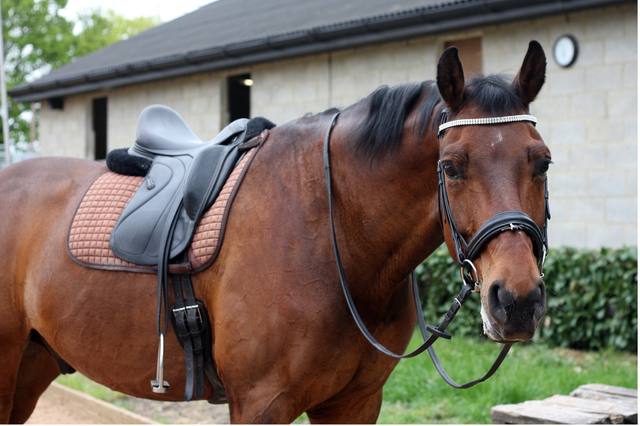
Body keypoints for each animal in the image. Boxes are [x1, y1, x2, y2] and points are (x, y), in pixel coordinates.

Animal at [0, 41, 551, 423]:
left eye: (541, 162)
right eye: (452, 167)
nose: (517, 299)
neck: (335, 236)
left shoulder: (355, 402)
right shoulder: (261, 403)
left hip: (33, 362)